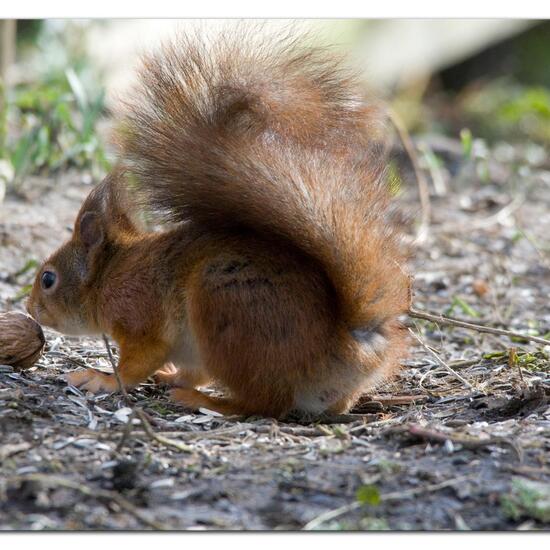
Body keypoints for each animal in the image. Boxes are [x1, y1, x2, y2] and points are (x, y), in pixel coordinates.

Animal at [28, 29, 412, 418]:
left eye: (48, 279)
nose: (30, 310)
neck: (110, 274)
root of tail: (343, 350)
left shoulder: (139, 315)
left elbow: (138, 361)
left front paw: (102, 379)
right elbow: (187, 370)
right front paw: (168, 374)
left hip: (225, 311)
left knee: (261, 403)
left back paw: (204, 401)